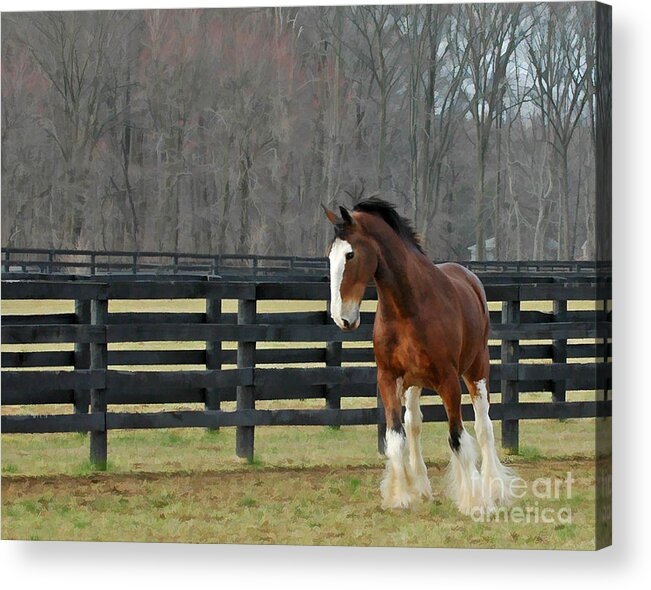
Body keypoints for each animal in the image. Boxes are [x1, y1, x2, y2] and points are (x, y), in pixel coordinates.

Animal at [324, 198, 516, 512]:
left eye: (350, 254)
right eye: (330, 256)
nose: (342, 318)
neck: (408, 308)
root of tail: (470, 277)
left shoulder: (449, 381)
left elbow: (457, 437)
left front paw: (475, 500)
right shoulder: (388, 378)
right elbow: (395, 436)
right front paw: (400, 495)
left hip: (476, 370)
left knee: (483, 426)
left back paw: (494, 488)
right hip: (414, 383)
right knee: (414, 423)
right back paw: (422, 486)